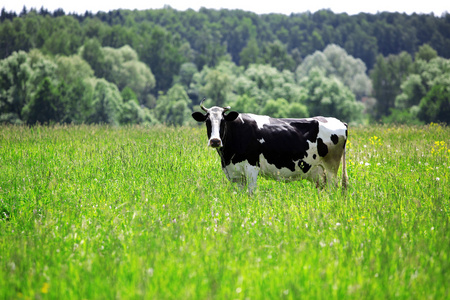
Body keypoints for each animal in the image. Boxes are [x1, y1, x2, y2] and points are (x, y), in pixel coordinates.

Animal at [192, 98, 350, 192]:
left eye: (223, 121)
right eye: (207, 121)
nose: (215, 141)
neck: (228, 156)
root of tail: (339, 121)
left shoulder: (252, 167)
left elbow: (251, 194)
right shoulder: (235, 174)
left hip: (331, 168)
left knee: (333, 189)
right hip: (319, 172)